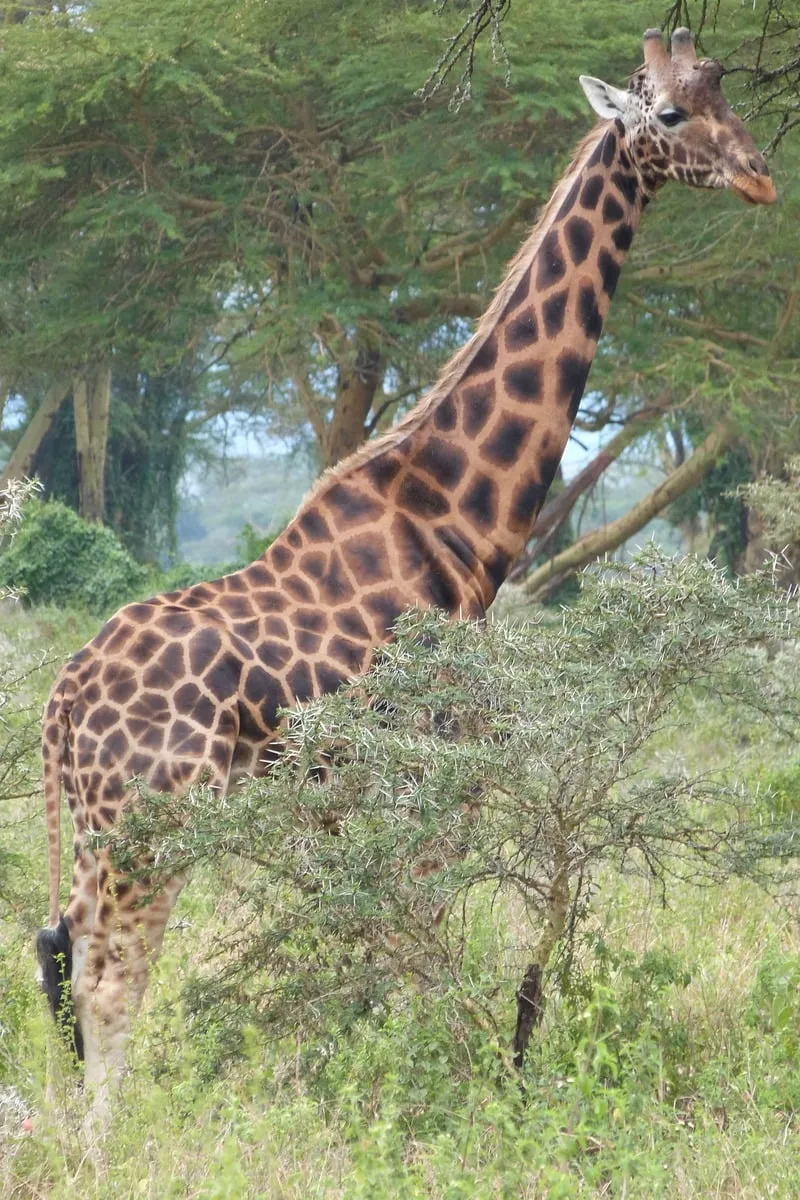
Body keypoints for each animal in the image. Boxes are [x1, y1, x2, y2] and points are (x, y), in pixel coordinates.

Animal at [37, 27, 775, 1115]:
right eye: (672, 113)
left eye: (727, 96)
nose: (760, 174)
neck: (458, 521)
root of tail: (61, 702)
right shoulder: (435, 769)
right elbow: (420, 953)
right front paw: (450, 1100)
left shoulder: (350, 796)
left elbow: (380, 952)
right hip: (151, 815)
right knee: (107, 975)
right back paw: (109, 1139)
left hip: (104, 823)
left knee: (64, 956)